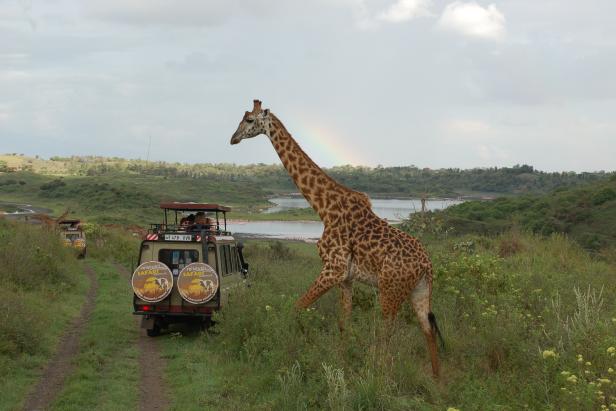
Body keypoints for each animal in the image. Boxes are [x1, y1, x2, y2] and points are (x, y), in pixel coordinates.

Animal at [231, 101, 442, 378]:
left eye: (249, 120)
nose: (233, 138)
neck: (324, 208)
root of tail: (427, 265)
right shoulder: (346, 277)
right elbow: (344, 323)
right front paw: (341, 363)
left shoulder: (333, 268)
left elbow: (297, 307)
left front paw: (282, 350)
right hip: (420, 291)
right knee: (427, 331)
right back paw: (437, 382)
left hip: (390, 290)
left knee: (386, 334)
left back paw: (378, 375)